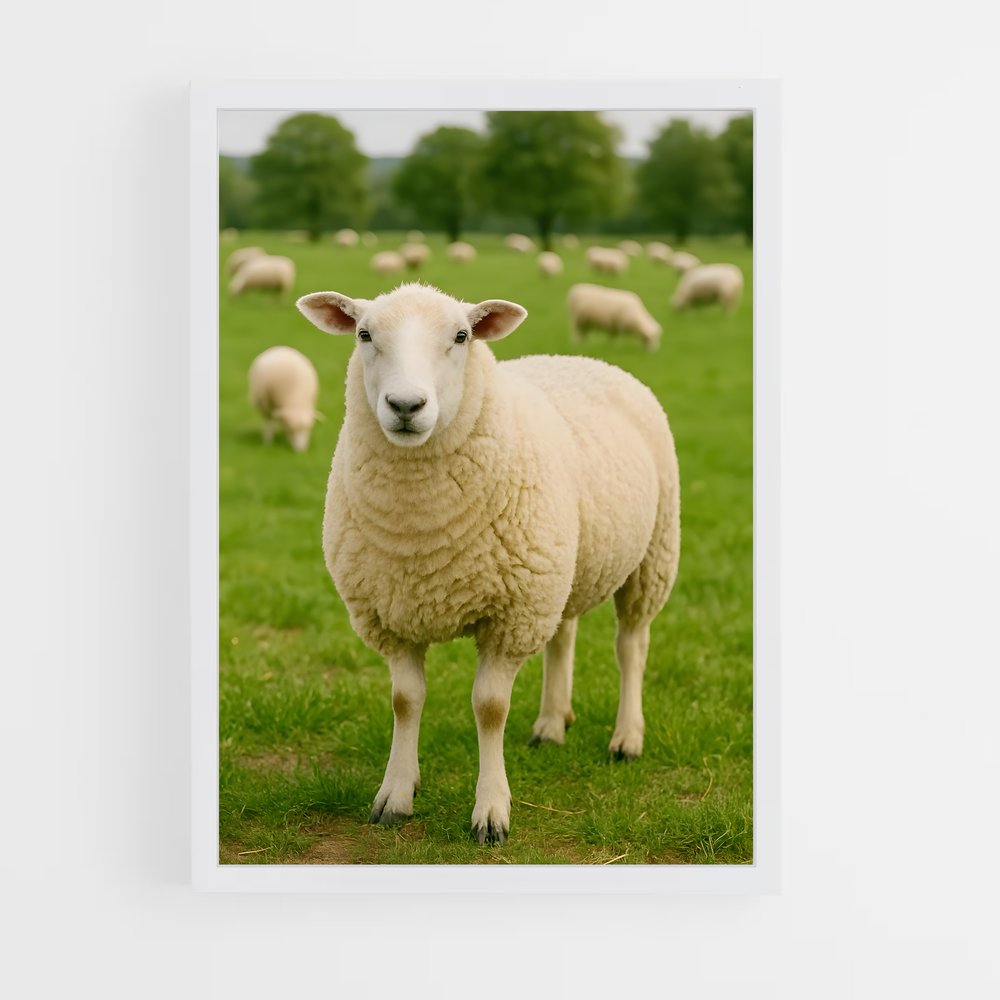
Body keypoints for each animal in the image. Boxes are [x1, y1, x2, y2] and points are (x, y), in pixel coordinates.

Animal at [296, 282, 680, 844]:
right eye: (364, 334)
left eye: (462, 336)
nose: (406, 405)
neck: (421, 533)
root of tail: (580, 358)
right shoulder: (391, 614)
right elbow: (405, 700)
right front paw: (396, 794)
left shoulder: (510, 616)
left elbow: (490, 708)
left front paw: (491, 812)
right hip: (557, 569)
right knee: (563, 637)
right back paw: (551, 724)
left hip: (651, 553)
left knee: (631, 645)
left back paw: (626, 737)